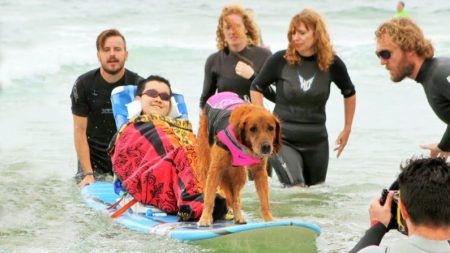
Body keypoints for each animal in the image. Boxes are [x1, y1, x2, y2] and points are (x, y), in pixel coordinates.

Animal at [195, 92, 280, 226]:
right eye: (253, 129)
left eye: (271, 128)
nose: (266, 147)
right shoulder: (216, 169)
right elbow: (209, 198)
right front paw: (205, 218)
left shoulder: (260, 171)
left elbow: (264, 200)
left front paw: (269, 219)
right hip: (206, 162)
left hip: (239, 174)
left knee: (235, 198)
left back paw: (238, 215)